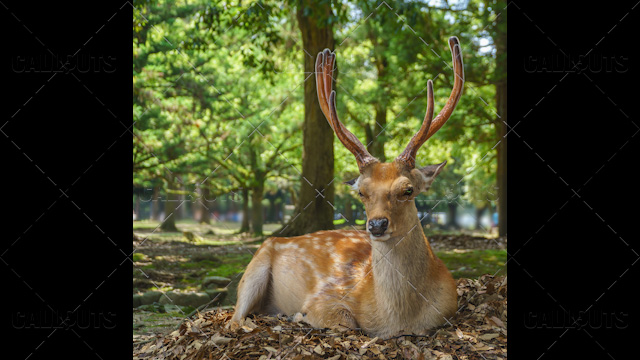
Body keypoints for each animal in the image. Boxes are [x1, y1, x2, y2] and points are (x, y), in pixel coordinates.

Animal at [230, 36, 464, 338]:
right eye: (361, 192)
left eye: (408, 190)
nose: (377, 225)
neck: (397, 319)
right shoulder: (323, 297)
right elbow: (345, 321)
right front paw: (300, 316)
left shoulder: (450, 307)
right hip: (253, 269)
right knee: (235, 317)